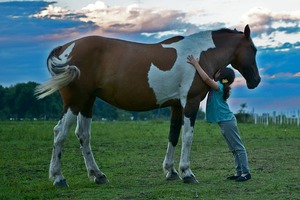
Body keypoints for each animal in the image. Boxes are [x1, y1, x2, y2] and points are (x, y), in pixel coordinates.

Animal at [34, 25, 260, 188]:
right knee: (60, 133)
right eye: (254, 49)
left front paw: (171, 171)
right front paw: (187, 173)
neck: (200, 55)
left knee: (83, 135)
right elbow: (188, 137)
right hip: (75, 101)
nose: (255, 81)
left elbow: (173, 136)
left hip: (87, 101)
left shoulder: (176, 106)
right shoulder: (191, 102)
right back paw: (59, 178)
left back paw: (98, 175)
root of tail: (66, 48)